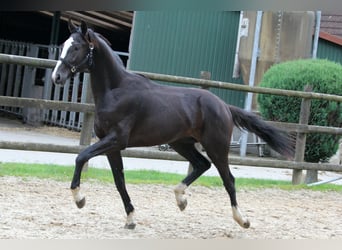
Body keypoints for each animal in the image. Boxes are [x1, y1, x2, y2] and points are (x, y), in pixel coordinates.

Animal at [50, 20, 294, 229]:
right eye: (63, 45)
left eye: (76, 47)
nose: (57, 77)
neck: (116, 90)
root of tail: (224, 106)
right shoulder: (111, 145)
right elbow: (119, 180)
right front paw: (130, 219)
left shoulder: (116, 139)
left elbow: (81, 156)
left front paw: (79, 199)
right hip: (182, 143)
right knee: (202, 165)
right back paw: (180, 199)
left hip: (216, 146)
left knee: (229, 179)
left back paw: (242, 220)